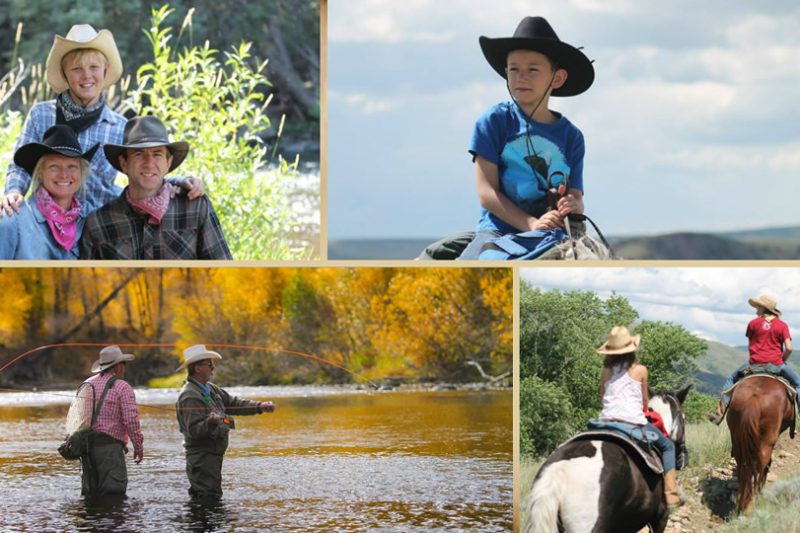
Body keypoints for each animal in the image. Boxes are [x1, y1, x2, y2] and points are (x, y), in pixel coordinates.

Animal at [724, 374, 792, 516]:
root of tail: (754, 397)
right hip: (766, 442)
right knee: (760, 466)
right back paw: (750, 503)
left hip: (737, 439)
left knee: (744, 467)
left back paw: (742, 503)